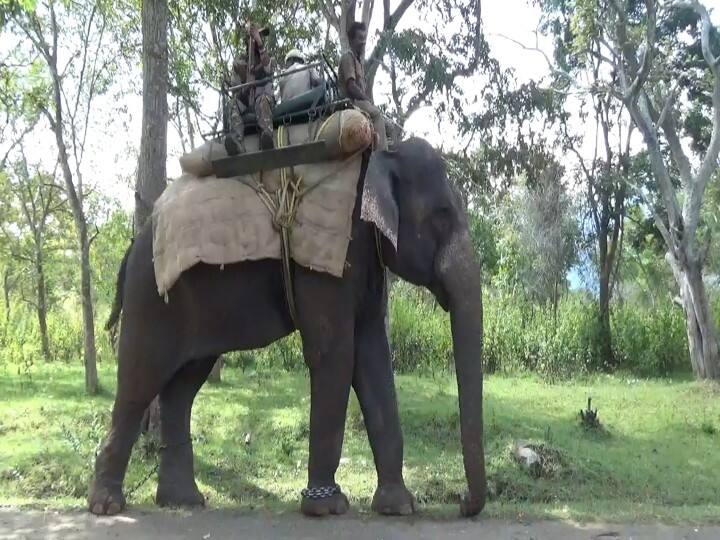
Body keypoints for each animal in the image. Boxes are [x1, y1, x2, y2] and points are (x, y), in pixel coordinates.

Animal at [87, 138, 486, 520]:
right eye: (442, 216)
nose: (463, 503)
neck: (378, 156)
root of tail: (133, 246)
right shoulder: (325, 267)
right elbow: (335, 355)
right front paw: (327, 508)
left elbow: (373, 358)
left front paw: (398, 507)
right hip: (152, 296)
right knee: (140, 381)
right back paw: (107, 507)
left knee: (182, 387)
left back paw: (183, 501)